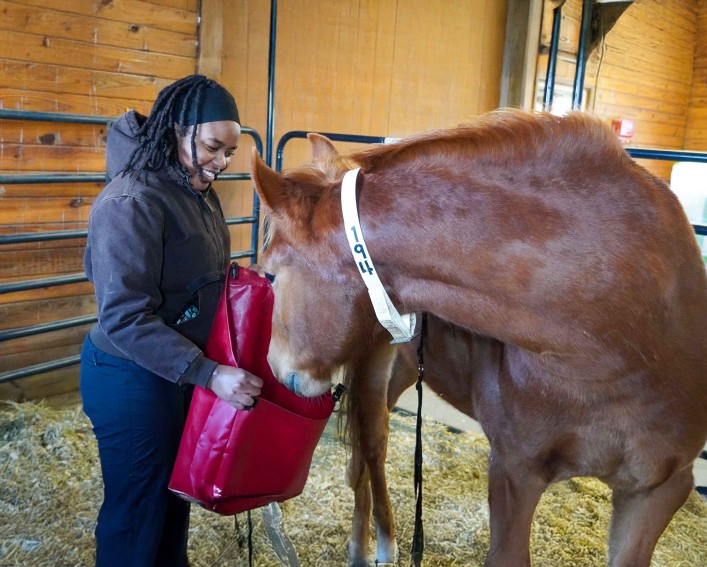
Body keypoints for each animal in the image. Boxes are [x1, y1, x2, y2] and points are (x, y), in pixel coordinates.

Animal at [250, 109, 707, 566]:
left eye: (272, 271)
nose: (276, 368)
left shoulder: (660, 489)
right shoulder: (514, 472)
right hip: (371, 359)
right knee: (370, 444)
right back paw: (368, 545)